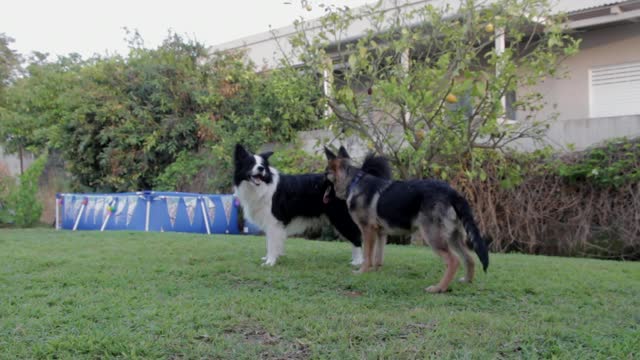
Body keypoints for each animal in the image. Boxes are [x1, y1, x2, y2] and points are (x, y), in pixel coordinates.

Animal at [231, 144, 388, 268]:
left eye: (262, 165)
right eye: (250, 163)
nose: (261, 168)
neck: (263, 186)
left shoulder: (274, 221)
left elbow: (271, 243)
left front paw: (270, 262)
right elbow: (275, 242)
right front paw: (274, 257)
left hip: (340, 218)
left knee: (356, 238)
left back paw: (357, 262)